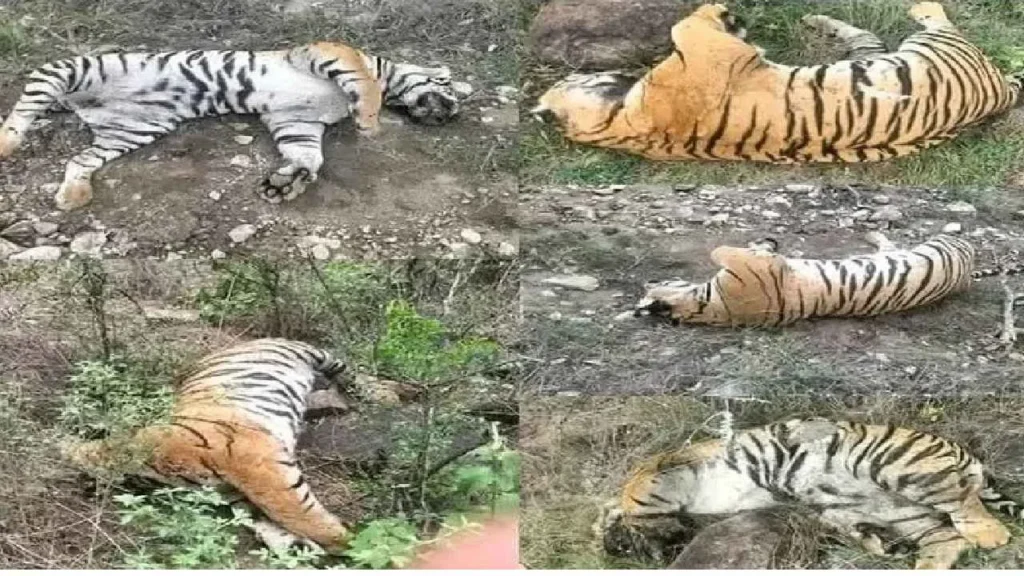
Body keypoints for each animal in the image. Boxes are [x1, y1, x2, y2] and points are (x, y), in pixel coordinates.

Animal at [0, 42, 468, 210]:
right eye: (449, 86)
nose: (451, 113)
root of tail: (82, 106)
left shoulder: (296, 120)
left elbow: (306, 155)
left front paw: (288, 182)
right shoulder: (323, 52)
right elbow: (360, 80)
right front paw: (369, 119)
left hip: (132, 130)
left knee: (79, 160)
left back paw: (73, 196)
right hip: (78, 69)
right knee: (32, 92)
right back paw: (7, 143)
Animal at [61, 338, 354, 553]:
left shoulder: (258, 466)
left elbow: (295, 512)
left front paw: (347, 542)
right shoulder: (236, 492)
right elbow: (265, 520)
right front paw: (295, 547)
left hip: (309, 353)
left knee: (342, 364)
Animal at [531, 3, 1024, 163]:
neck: (617, 122)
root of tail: (1000, 91)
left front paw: (733, 18)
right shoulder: (709, 52)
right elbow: (685, 24)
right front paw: (722, 12)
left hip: (877, 55)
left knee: (863, 36)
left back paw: (816, 18)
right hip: (934, 45)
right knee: (935, 15)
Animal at [598, 418, 1024, 569]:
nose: (611, 549)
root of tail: (965, 453)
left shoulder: (672, 461)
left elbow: (637, 487)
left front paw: (629, 514)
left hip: (894, 465)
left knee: (962, 500)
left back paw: (991, 534)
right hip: (899, 512)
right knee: (948, 539)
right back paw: (896, 553)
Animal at [634, 232, 989, 328]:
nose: (648, 280)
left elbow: (723, 250)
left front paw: (765, 242)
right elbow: (721, 250)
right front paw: (765, 244)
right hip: (942, 244)